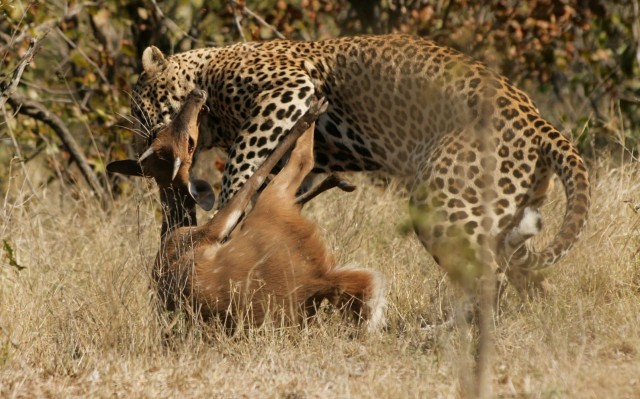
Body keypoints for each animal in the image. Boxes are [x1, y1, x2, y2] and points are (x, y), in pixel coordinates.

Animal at [107, 90, 384, 332]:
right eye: (189, 143)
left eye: (157, 129)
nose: (197, 94)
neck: (175, 228)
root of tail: (318, 280)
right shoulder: (213, 228)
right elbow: (256, 178)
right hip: (272, 205)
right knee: (302, 161)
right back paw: (314, 109)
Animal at [127, 33, 592, 296]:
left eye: (140, 107)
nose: (143, 147)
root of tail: (540, 123)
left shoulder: (287, 89)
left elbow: (244, 161)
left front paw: (226, 209)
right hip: (504, 213)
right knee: (525, 275)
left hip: (443, 203)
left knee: (489, 277)